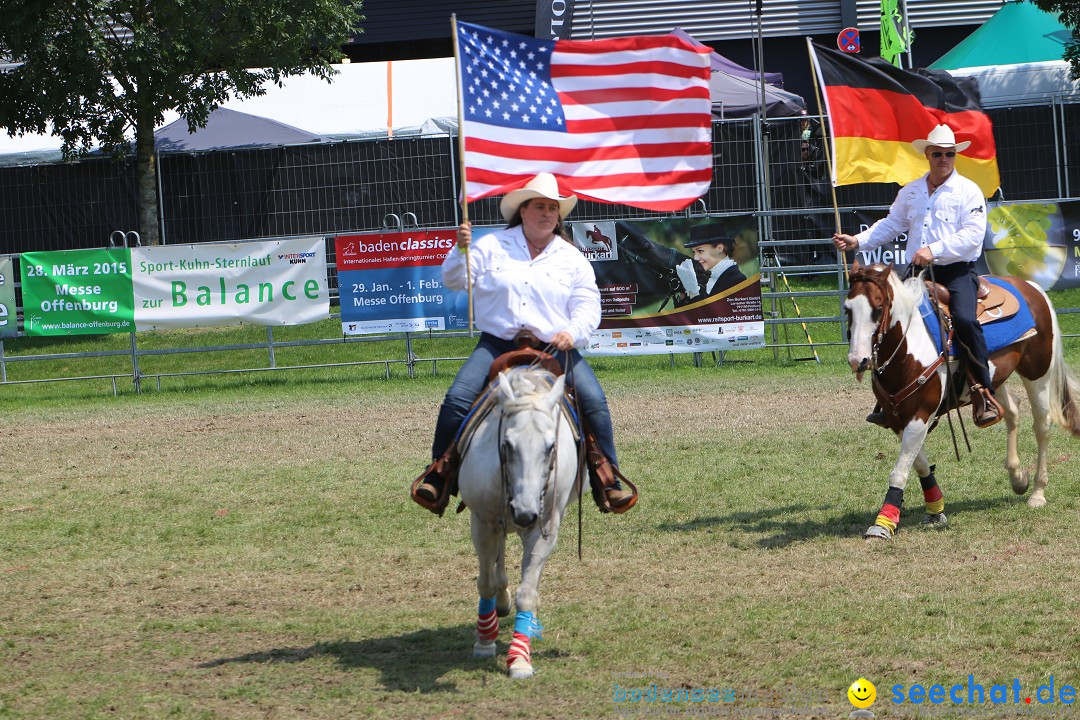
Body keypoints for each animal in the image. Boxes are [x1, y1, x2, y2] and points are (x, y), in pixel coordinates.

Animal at [457, 369, 583, 677]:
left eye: (551, 446)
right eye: (507, 444)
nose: (525, 514)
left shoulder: (546, 528)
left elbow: (527, 591)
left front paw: (520, 659)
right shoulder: (482, 522)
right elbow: (486, 582)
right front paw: (484, 641)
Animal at [842, 264, 1080, 539]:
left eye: (878, 308)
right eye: (847, 308)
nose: (857, 360)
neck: (909, 348)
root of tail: (1031, 287)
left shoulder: (921, 413)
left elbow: (899, 471)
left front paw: (883, 523)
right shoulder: (897, 418)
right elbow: (920, 464)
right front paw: (935, 509)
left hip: (1038, 373)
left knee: (1042, 426)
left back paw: (1038, 493)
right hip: (994, 377)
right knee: (1012, 410)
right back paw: (1018, 477)